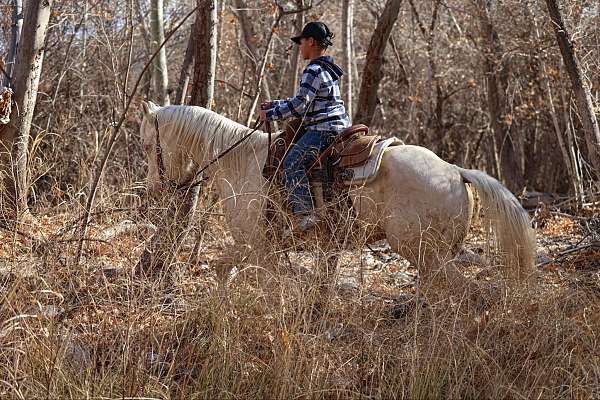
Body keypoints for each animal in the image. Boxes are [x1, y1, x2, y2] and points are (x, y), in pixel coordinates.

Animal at [138, 101, 536, 292]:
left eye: (146, 144)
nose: (157, 188)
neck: (241, 160)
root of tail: (456, 171)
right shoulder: (257, 246)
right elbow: (224, 271)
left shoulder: (257, 245)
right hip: (433, 256)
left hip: (423, 251)